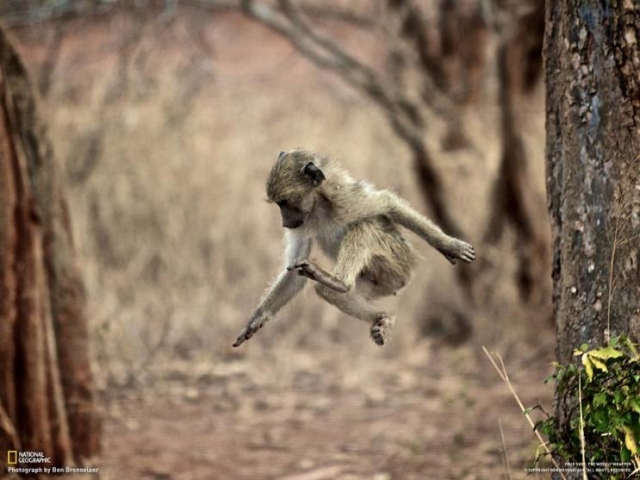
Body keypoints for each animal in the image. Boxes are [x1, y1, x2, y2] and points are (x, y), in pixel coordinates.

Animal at [232, 148, 472, 346]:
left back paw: (338, 281)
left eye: (283, 202)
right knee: (330, 293)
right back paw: (379, 316)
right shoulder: (303, 222)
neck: (317, 204)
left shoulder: (344, 198)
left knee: (363, 225)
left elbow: (388, 203)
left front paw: (449, 245)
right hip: (376, 284)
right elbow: (293, 271)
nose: (285, 223)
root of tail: (403, 280)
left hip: (397, 262)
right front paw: (257, 319)